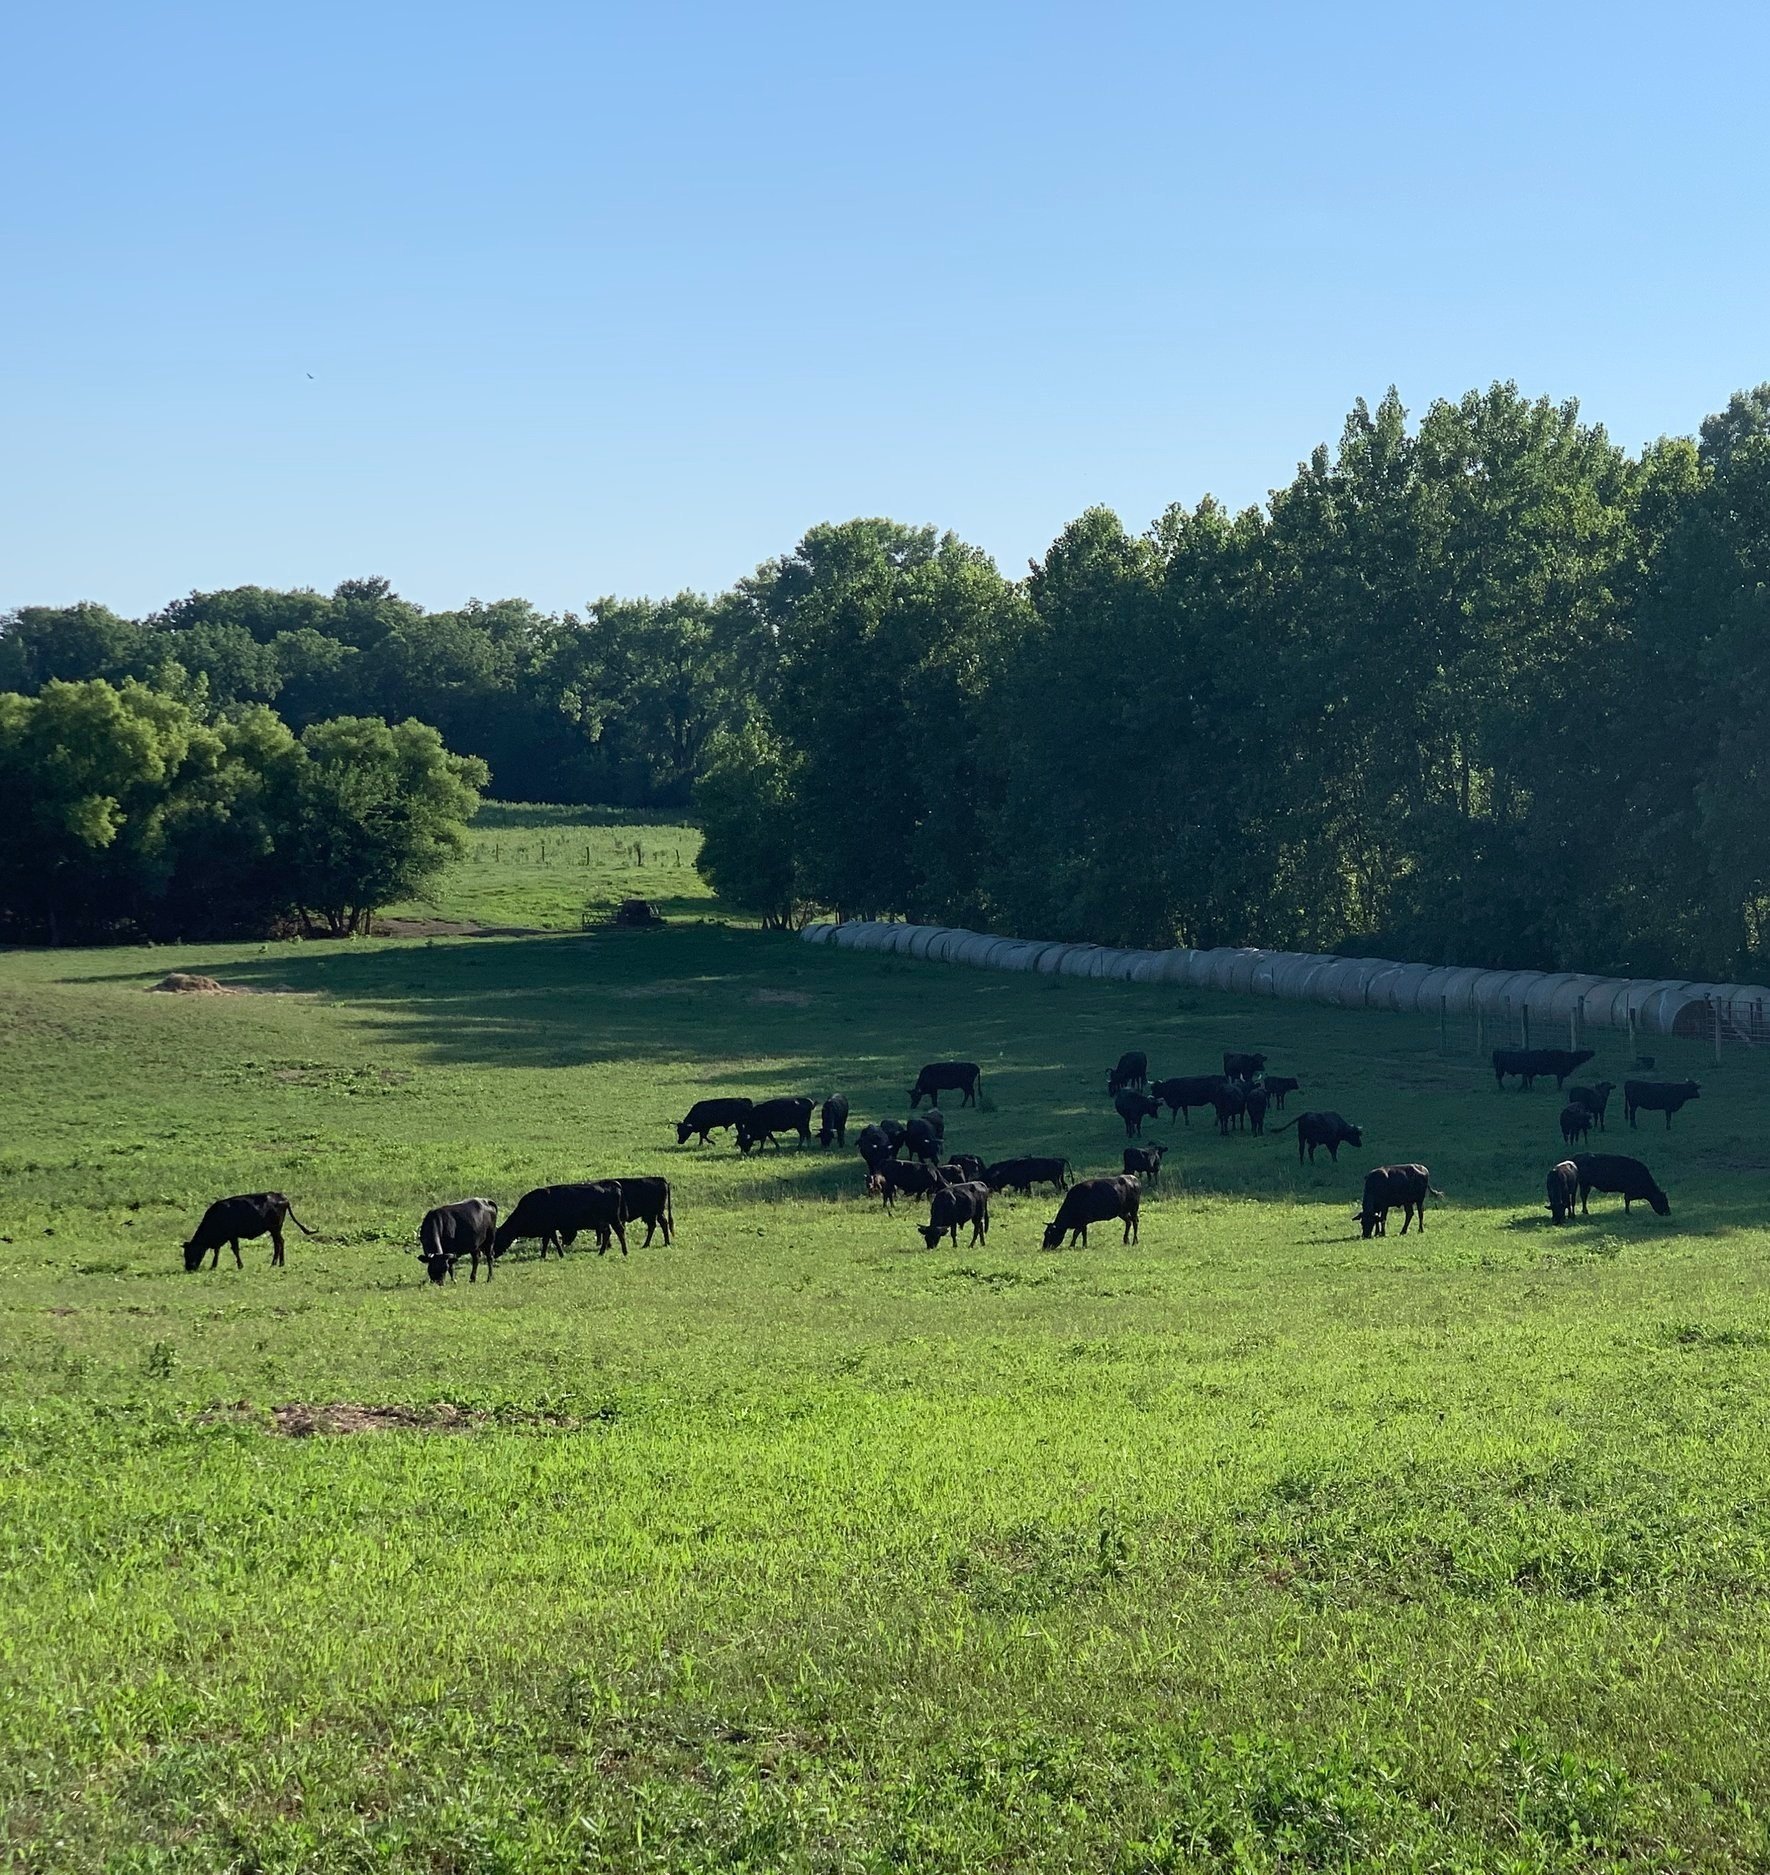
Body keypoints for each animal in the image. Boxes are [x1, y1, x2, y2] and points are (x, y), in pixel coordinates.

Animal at [183, 1193, 315, 1271]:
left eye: (190, 1252)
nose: (189, 1268)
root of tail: (281, 1196)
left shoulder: (232, 1235)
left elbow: (235, 1250)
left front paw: (240, 1266)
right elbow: (217, 1251)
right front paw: (213, 1266)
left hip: (275, 1228)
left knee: (279, 1243)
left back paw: (276, 1263)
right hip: (276, 1229)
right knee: (279, 1242)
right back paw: (278, 1263)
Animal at [493, 1182, 627, 1259]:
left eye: (496, 1239)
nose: (492, 1255)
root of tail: (613, 1185)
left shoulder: (550, 1229)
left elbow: (555, 1241)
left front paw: (561, 1254)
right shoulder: (547, 1230)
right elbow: (546, 1242)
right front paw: (543, 1255)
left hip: (613, 1220)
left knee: (619, 1231)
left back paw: (624, 1251)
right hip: (605, 1222)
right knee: (608, 1233)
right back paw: (603, 1252)